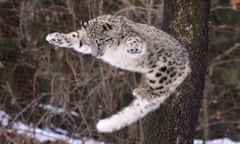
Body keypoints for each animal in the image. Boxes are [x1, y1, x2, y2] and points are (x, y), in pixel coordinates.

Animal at [45, 14, 191, 133]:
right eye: (89, 43)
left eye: (99, 42)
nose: (95, 55)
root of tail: (187, 63)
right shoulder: (82, 40)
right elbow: (75, 36)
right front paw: (54, 37)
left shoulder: (132, 34)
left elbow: (134, 38)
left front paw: (133, 47)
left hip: (161, 71)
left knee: (160, 92)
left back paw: (140, 92)